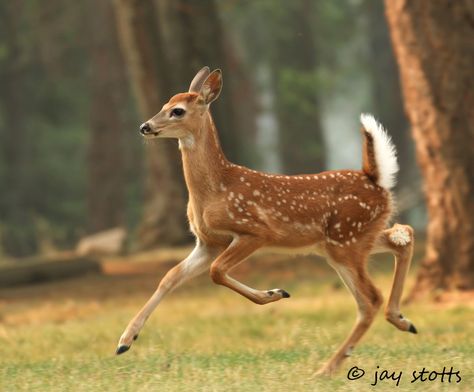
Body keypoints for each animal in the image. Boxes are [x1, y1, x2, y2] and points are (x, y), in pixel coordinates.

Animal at [116, 67, 416, 376]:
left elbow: (216, 271)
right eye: (164, 103)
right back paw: (402, 320)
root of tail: (375, 179)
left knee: (371, 298)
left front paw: (275, 293)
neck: (215, 191)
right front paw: (125, 340)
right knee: (402, 235)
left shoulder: (256, 231)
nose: (145, 126)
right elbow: (170, 276)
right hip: (351, 239)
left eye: (177, 111)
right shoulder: (208, 242)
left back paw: (327, 368)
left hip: (345, 242)